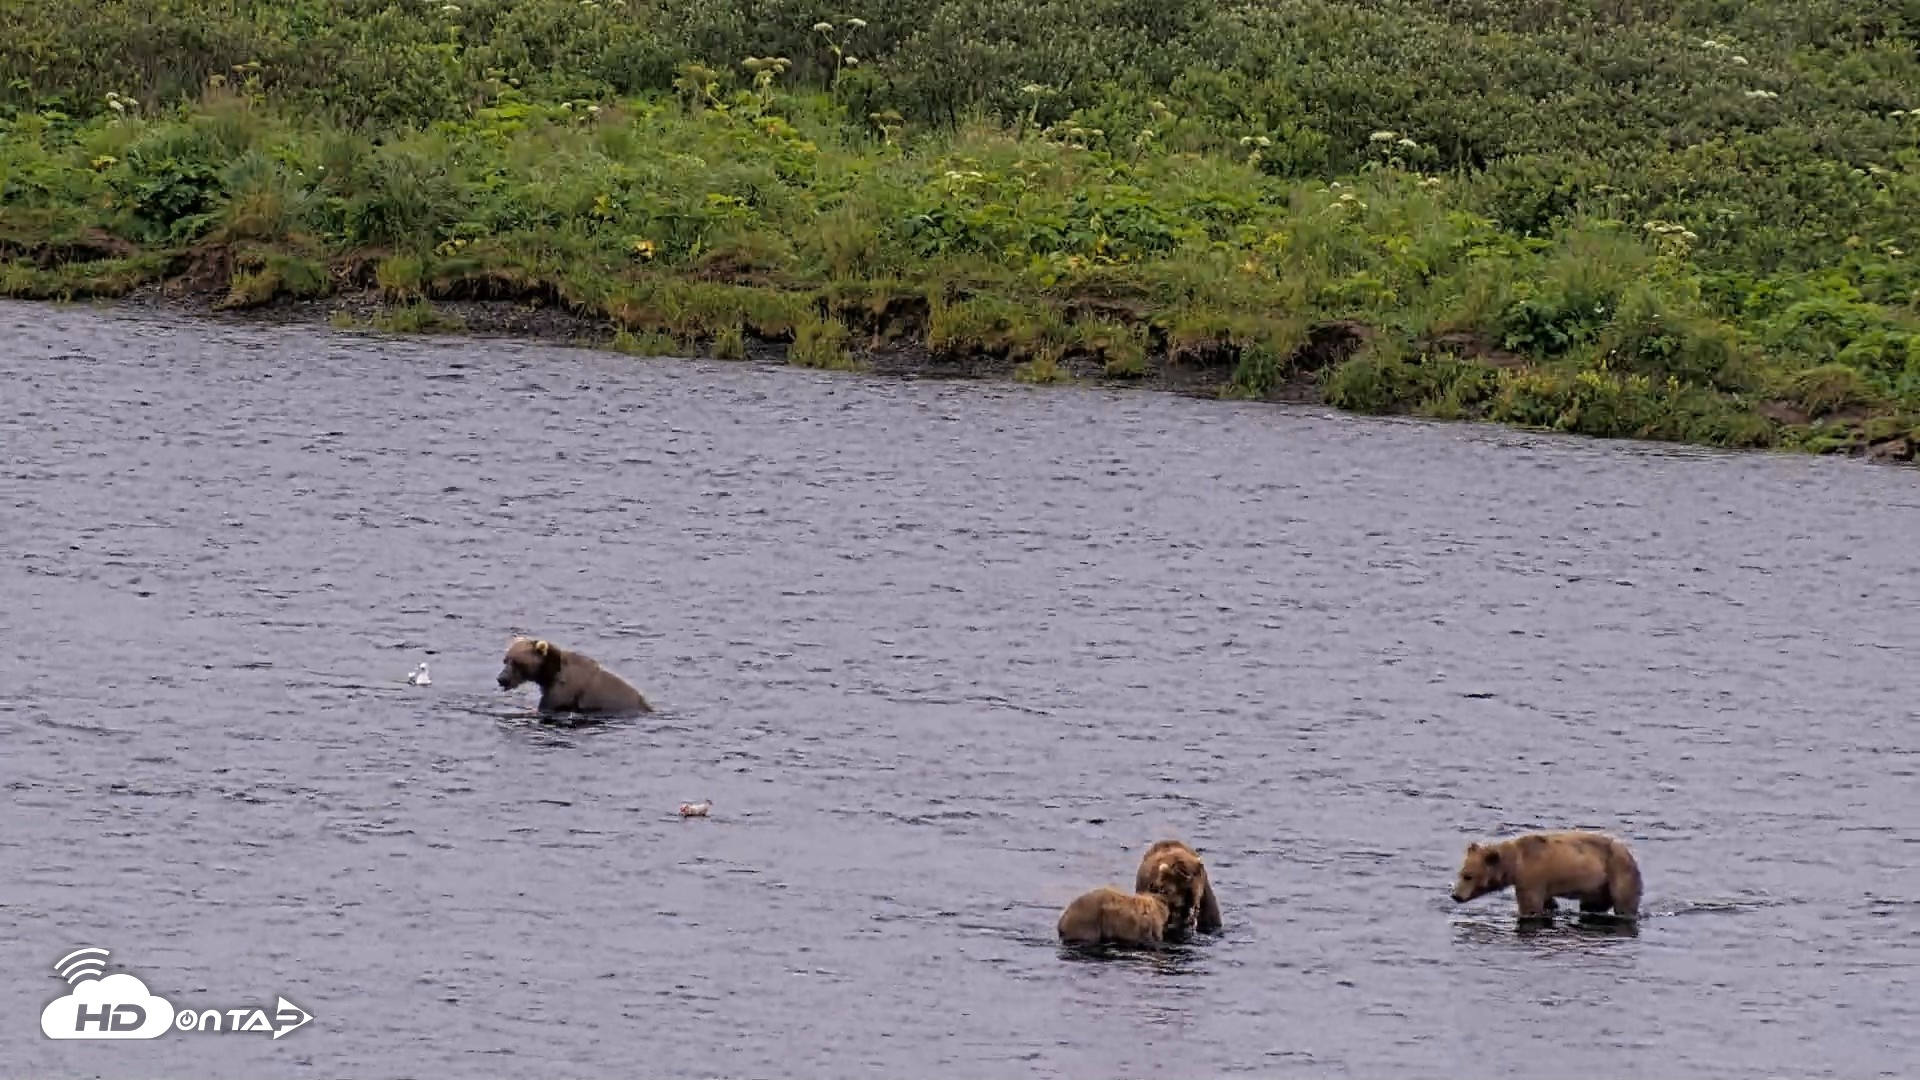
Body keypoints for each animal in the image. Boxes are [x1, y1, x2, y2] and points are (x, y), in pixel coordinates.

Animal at [1450, 830, 1643, 920]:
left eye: (1468, 876)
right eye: (1461, 873)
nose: (1455, 895)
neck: (1515, 864)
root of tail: (1629, 853)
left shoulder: (1531, 877)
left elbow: (1530, 906)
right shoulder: (1541, 883)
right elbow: (1548, 903)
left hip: (1618, 872)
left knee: (1624, 902)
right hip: (1598, 887)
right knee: (1592, 905)